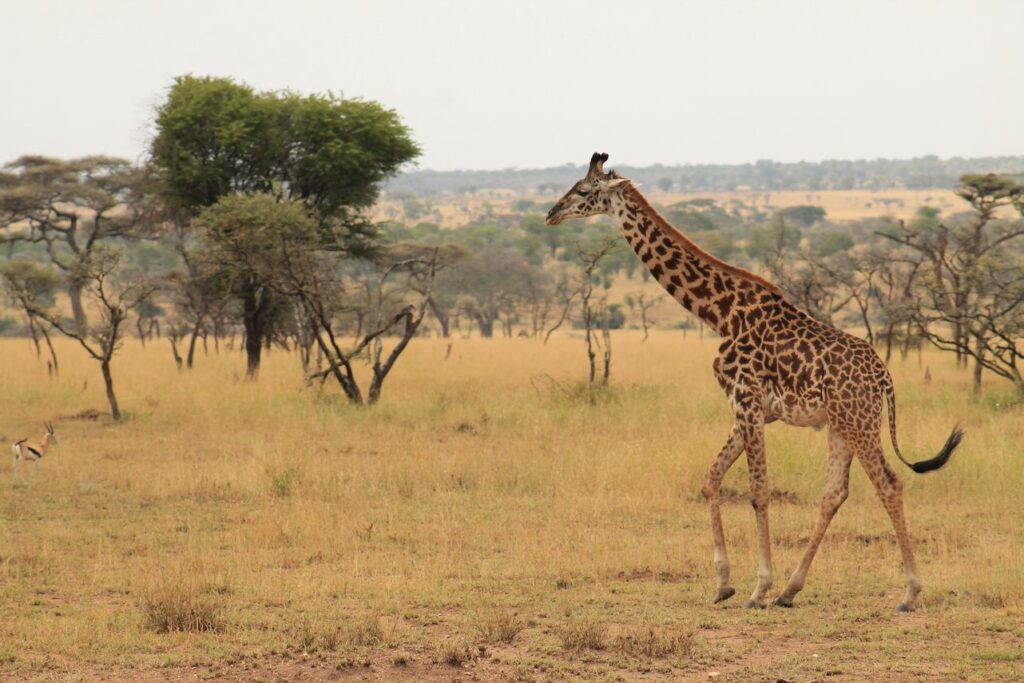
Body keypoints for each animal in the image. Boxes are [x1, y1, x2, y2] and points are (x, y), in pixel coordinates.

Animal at [546, 153, 963, 611]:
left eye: (584, 191)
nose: (551, 213)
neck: (721, 313)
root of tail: (885, 378)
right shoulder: (751, 408)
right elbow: (710, 478)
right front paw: (723, 584)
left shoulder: (745, 400)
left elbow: (758, 490)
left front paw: (757, 588)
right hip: (840, 424)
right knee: (834, 492)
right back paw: (790, 590)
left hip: (859, 421)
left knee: (888, 483)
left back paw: (909, 592)